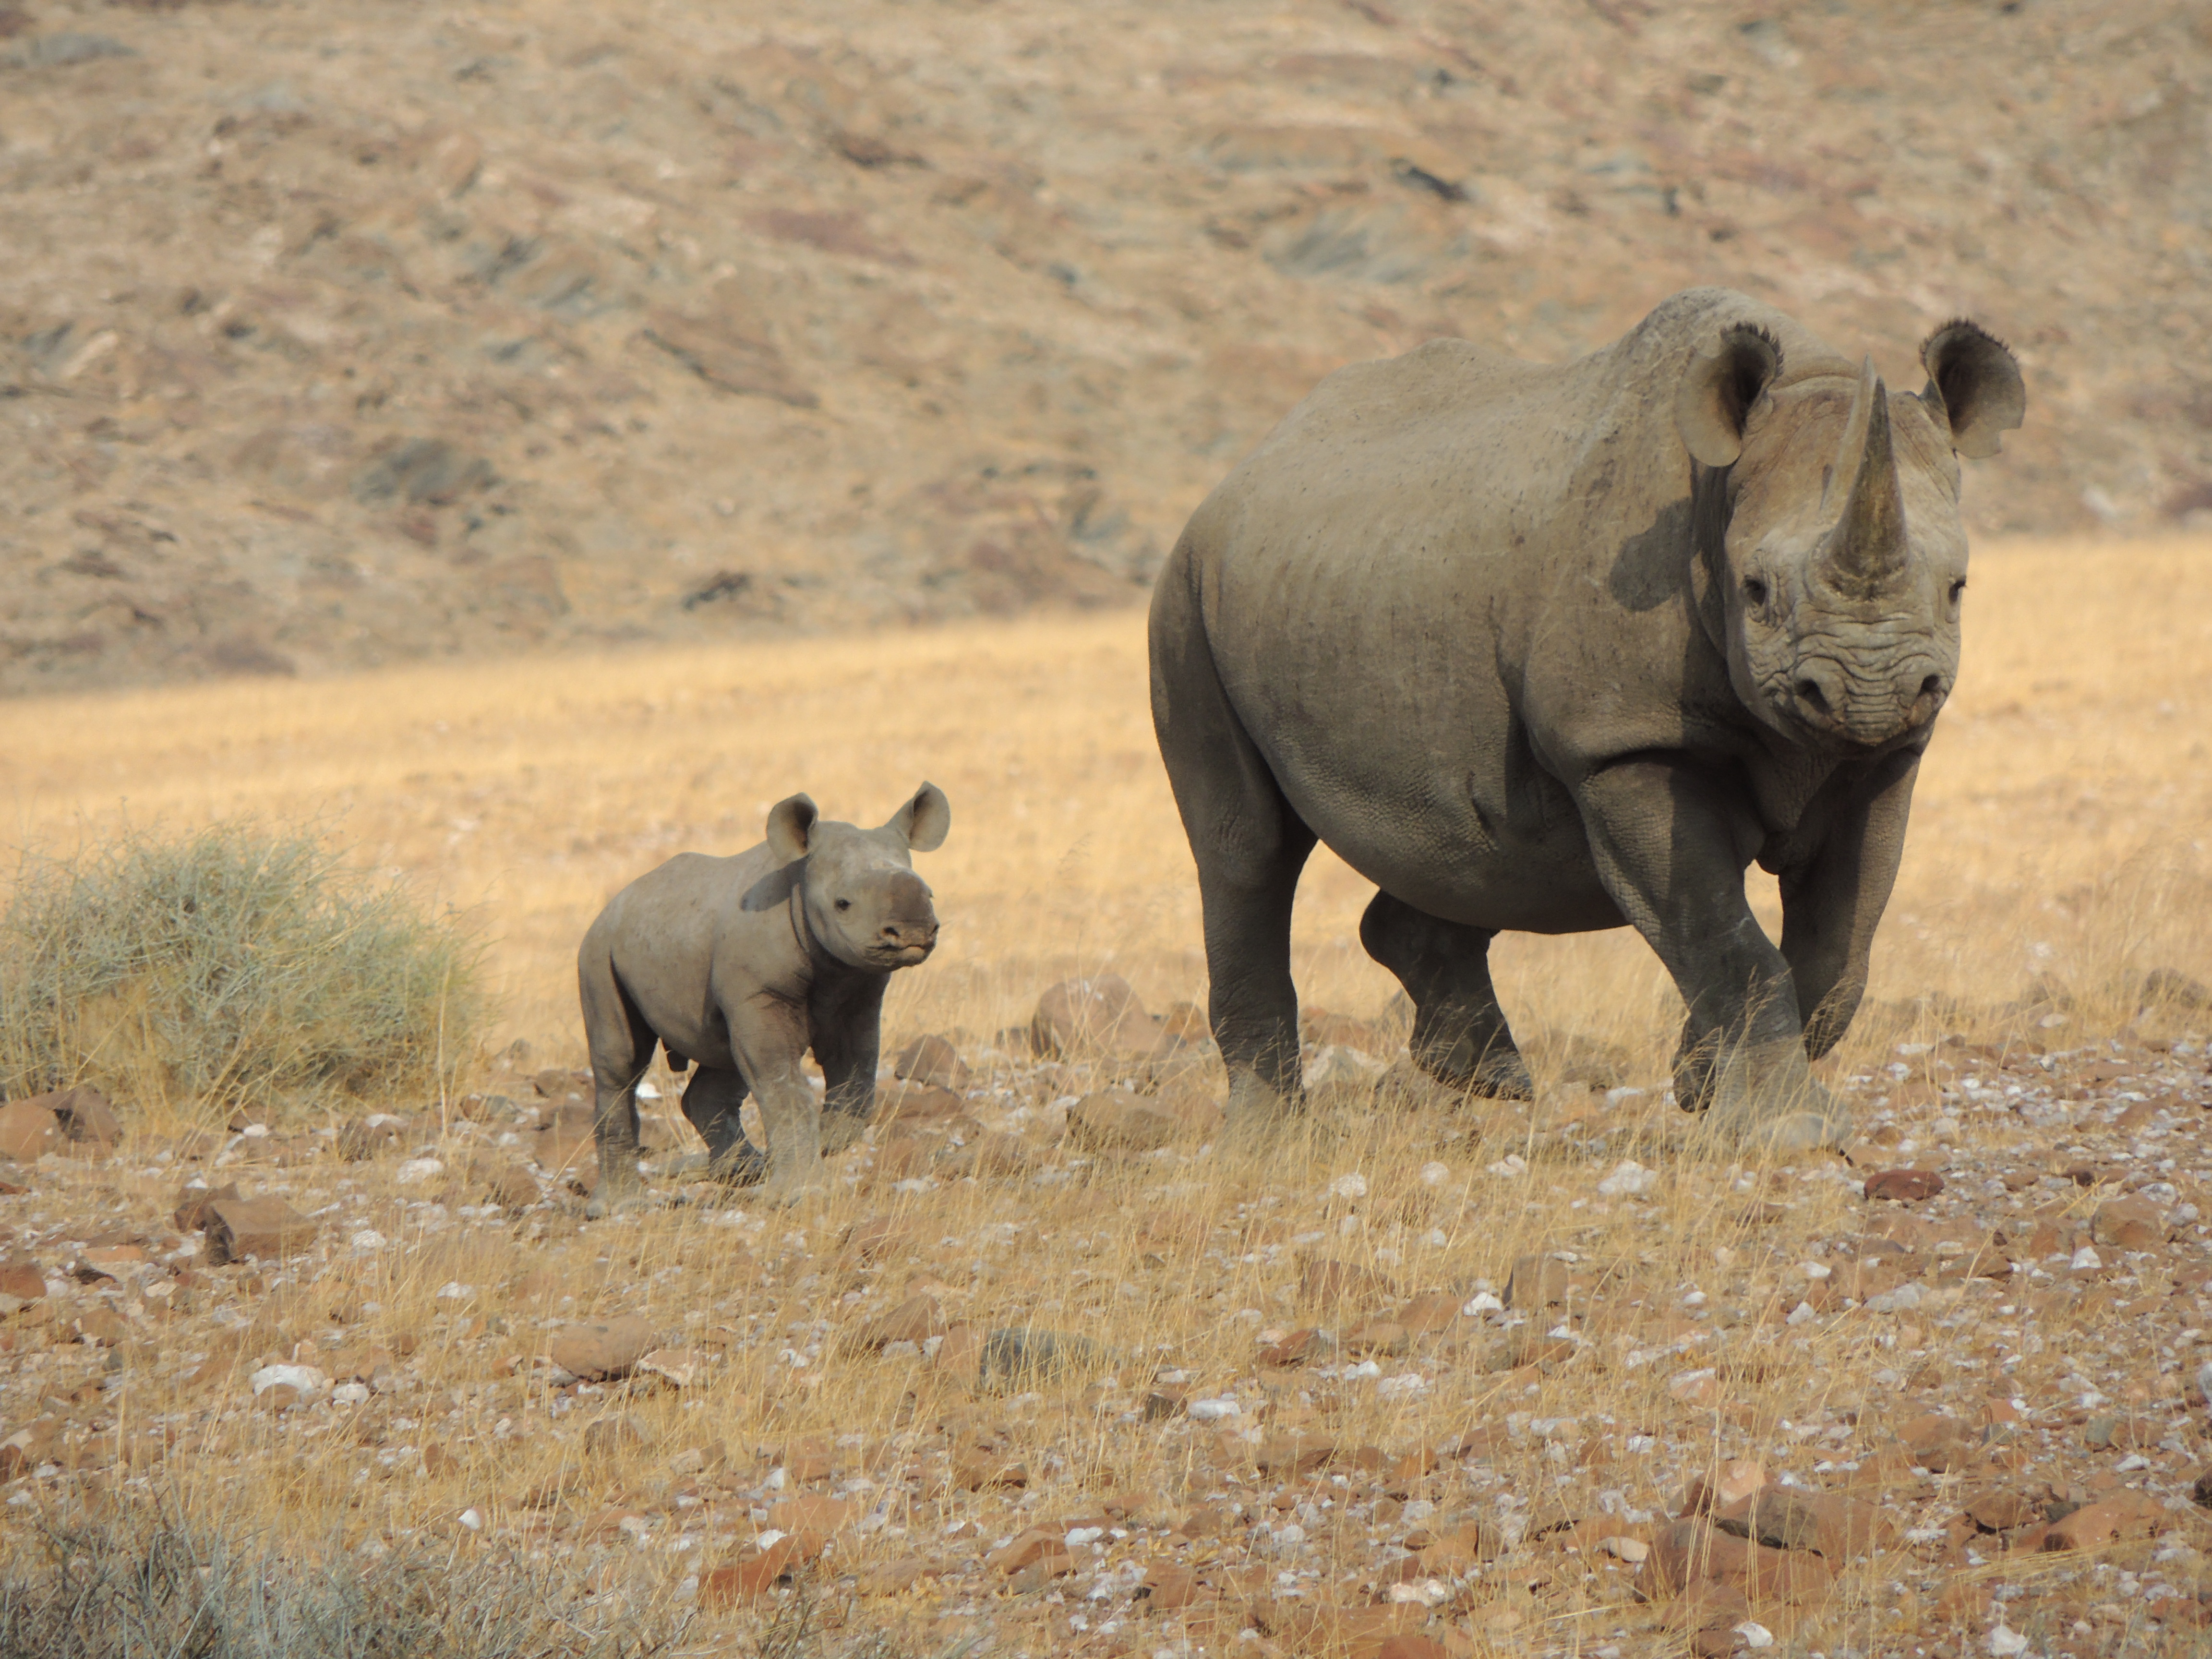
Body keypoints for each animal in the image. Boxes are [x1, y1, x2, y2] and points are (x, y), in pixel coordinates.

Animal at [576, 785, 950, 1207]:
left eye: (931, 895)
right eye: (843, 904)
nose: (913, 932)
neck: (801, 885)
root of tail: (613, 903)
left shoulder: (859, 991)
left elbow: (856, 1070)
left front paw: (830, 1139)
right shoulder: (760, 991)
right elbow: (781, 1082)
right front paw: (800, 1194)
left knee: (723, 1055)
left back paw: (743, 1171)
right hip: (598, 951)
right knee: (621, 1063)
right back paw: (618, 1207)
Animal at [1150, 287, 2023, 1150]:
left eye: (1957, 589)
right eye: (1755, 591)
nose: (1865, 693)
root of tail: (1235, 475)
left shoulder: (1884, 757)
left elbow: (1841, 942)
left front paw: (1701, 1081)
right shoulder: (1623, 744)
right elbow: (1723, 937)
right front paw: (1786, 1128)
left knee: (1460, 843)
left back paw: (1486, 1077)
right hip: (1185, 599)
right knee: (1246, 852)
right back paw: (1267, 1143)